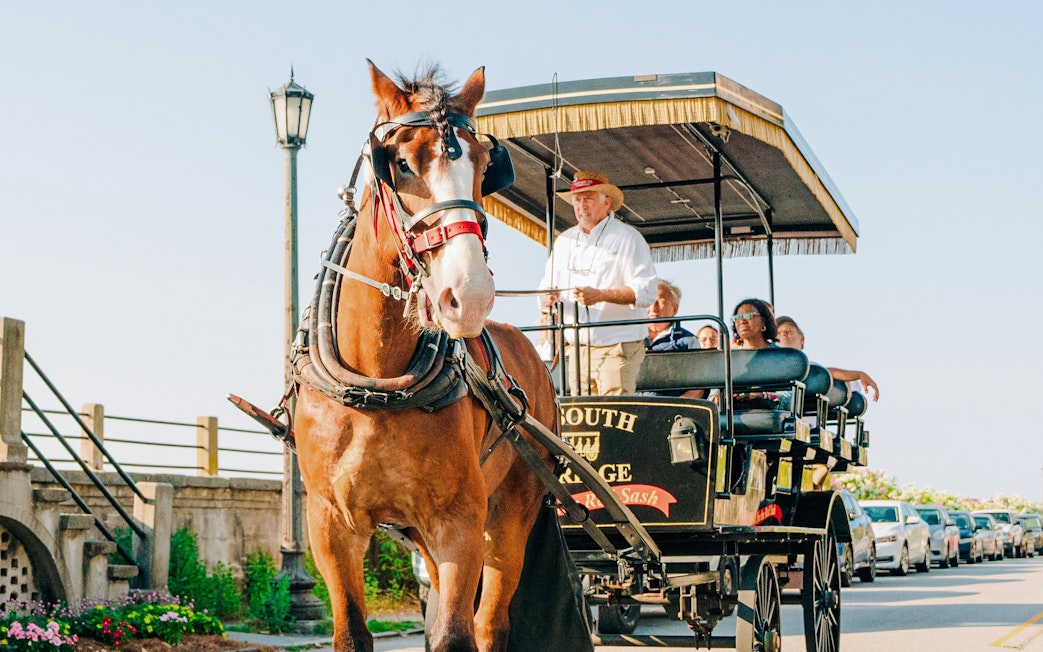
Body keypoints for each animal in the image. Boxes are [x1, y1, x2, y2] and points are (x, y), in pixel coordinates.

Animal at [292, 61, 563, 652]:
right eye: (399, 163)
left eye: (484, 166)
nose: (471, 295)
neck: (377, 383)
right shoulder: (331, 525)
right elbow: (353, 633)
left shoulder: (460, 521)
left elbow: (455, 635)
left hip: (512, 510)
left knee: (490, 623)